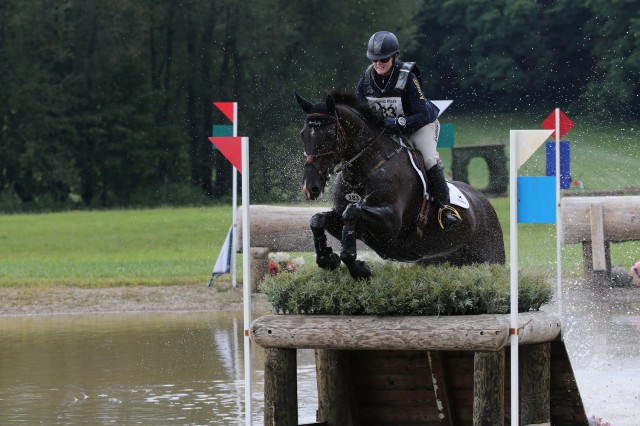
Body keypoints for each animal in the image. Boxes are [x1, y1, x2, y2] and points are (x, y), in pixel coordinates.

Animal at [296, 92, 504, 280]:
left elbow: (352, 211)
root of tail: (484, 201)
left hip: (491, 256)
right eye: (303, 135)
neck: (366, 169)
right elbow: (318, 219)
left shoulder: (390, 223)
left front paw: (359, 269)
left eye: (329, 135)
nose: (310, 187)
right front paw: (327, 259)